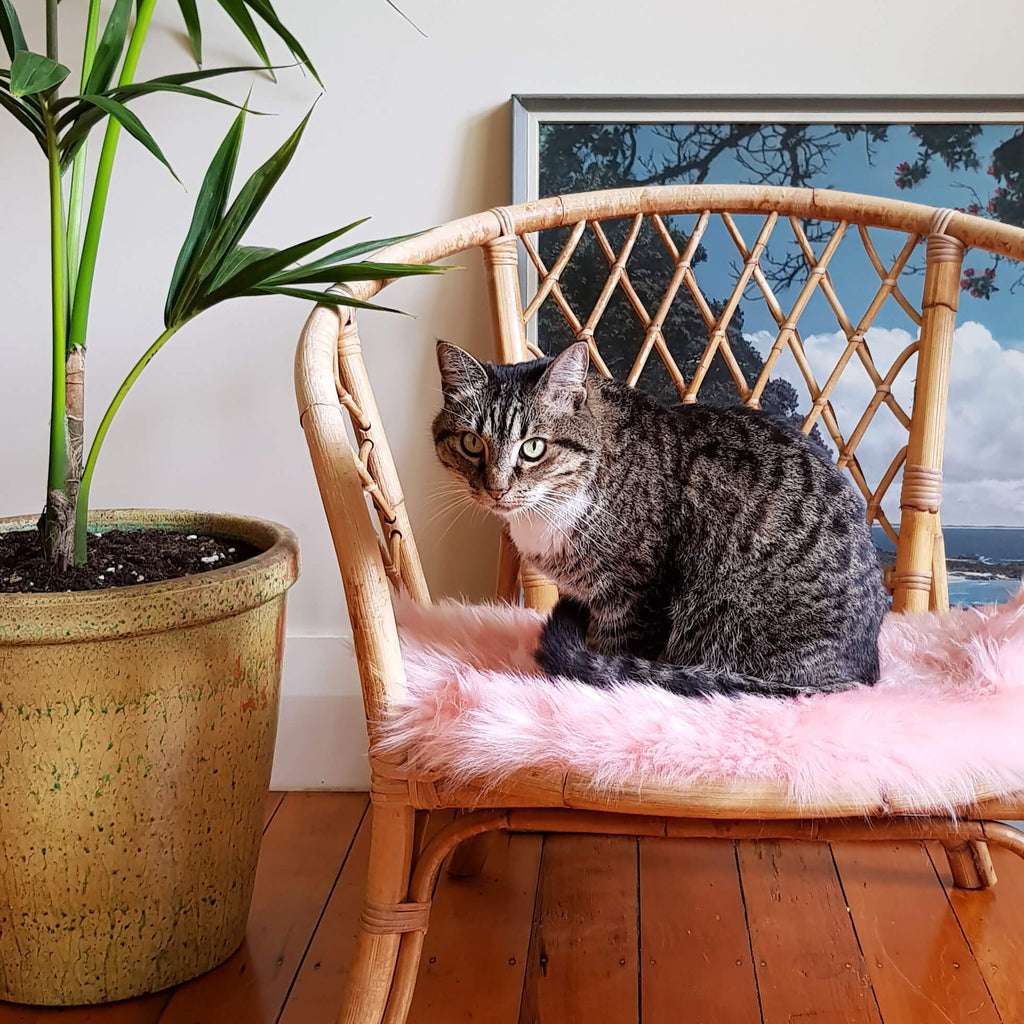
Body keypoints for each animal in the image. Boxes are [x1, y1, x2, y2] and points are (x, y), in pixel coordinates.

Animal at [432, 339, 888, 700]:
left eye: (533, 447)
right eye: (472, 443)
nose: (496, 489)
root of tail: (865, 671)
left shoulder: (635, 594)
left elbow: (610, 653)